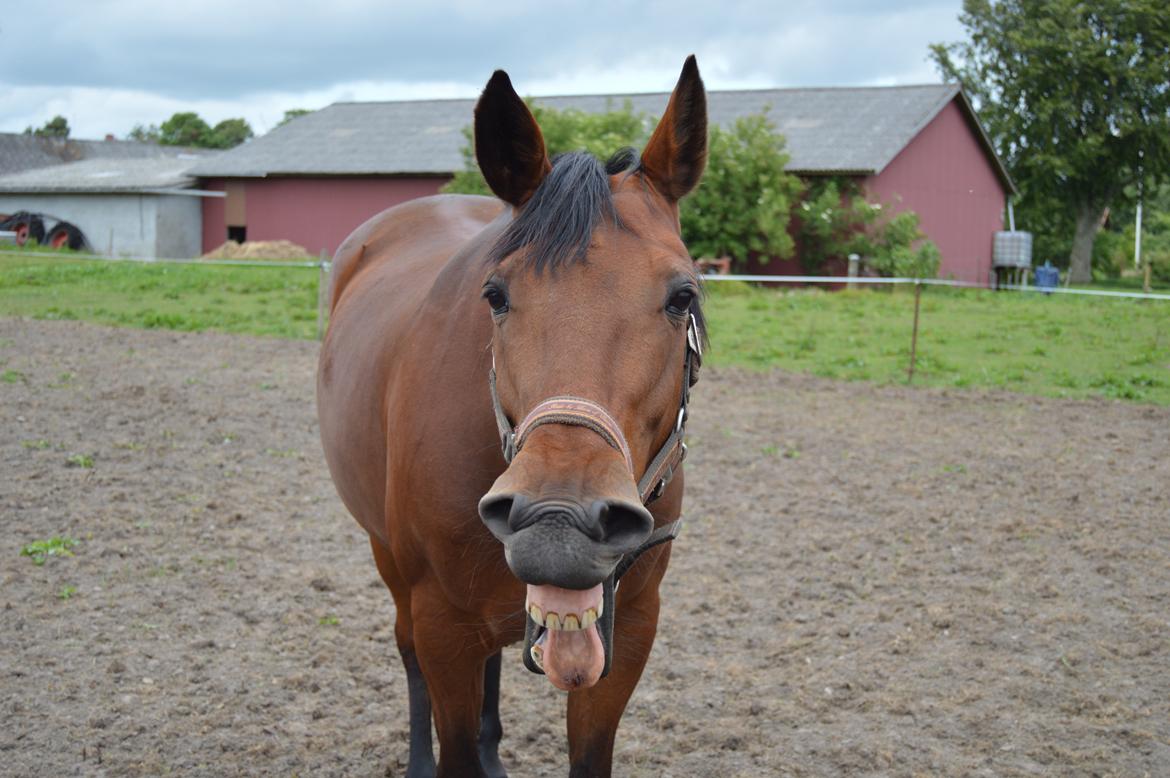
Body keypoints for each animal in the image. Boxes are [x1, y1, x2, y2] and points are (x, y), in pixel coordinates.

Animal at [315, 56, 706, 776]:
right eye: (495, 295)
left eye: (682, 295)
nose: (560, 520)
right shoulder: (441, 624)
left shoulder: (632, 628)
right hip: (390, 560)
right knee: (406, 651)